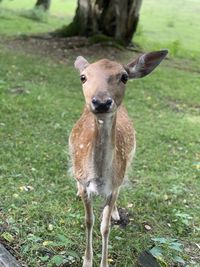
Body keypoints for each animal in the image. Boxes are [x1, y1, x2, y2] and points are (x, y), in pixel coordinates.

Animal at [69, 49, 167, 266]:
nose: (101, 102)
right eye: (83, 77)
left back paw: (114, 213)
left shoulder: (114, 185)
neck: (98, 178)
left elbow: (105, 227)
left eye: (124, 77)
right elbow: (89, 221)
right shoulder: (86, 184)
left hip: (128, 161)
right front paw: (87, 261)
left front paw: (104, 262)